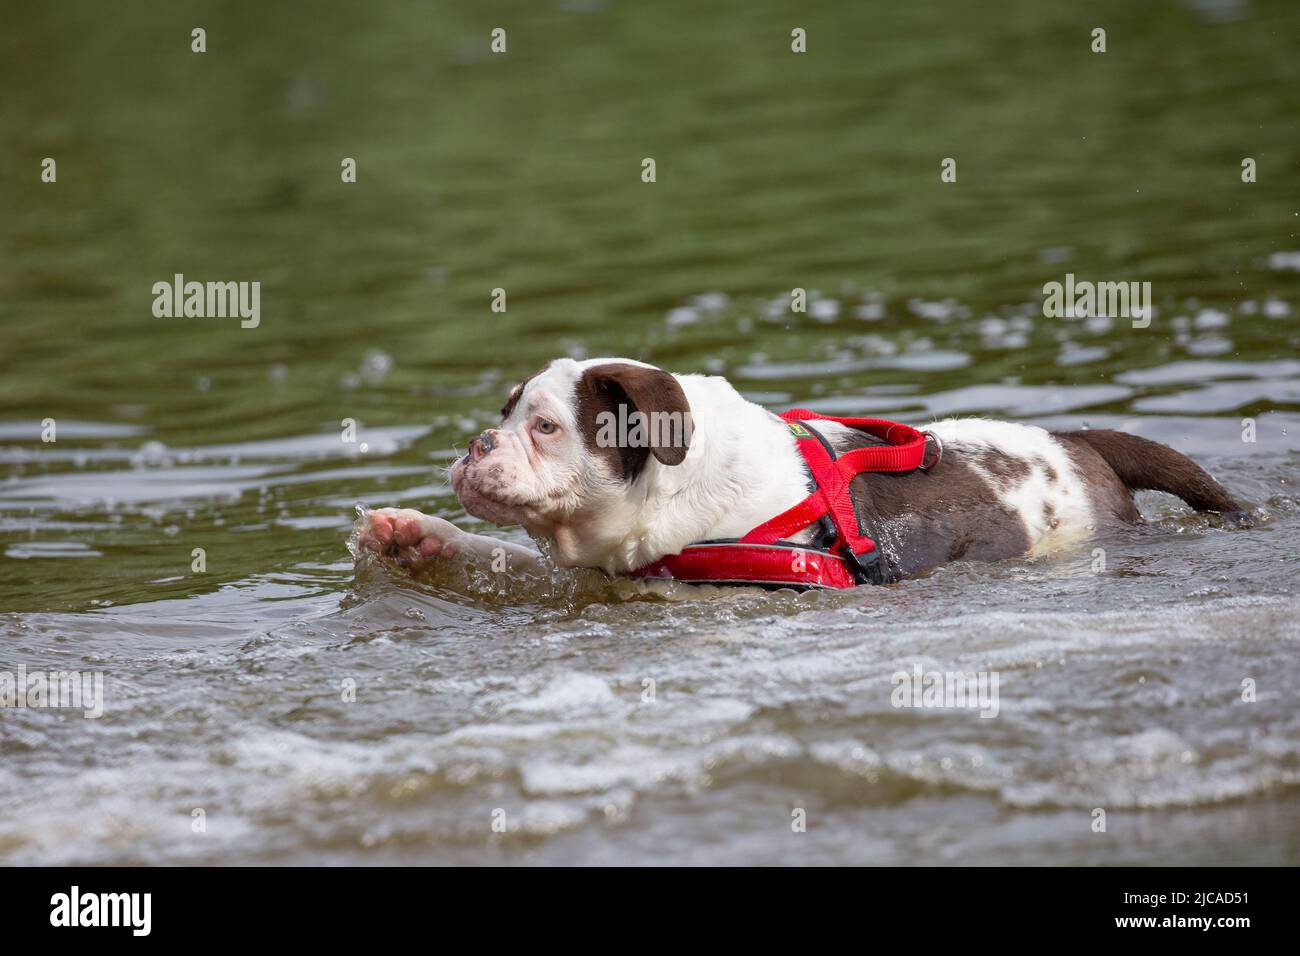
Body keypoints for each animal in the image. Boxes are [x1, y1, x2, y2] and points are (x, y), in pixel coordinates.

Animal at [351, 356, 1242, 582]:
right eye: (503, 415)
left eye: (544, 427)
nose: (479, 443)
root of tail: (1078, 440)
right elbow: (492, 550)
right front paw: (410, 535)